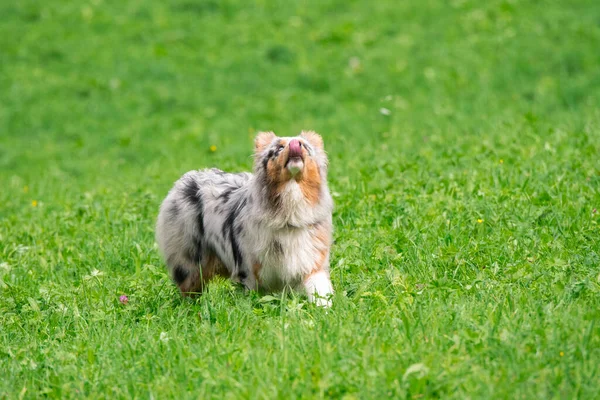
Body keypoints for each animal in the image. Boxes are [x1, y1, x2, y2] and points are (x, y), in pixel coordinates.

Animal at [155, 131, 336, 306]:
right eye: (278, 148)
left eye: (304, 145)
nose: (294, 144)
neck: (288, 215)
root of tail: (186, 179)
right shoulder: (249, 269)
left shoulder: (311, 260)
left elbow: (320, 290)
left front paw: (324, 310)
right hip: (190, 262)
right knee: (188, 288)